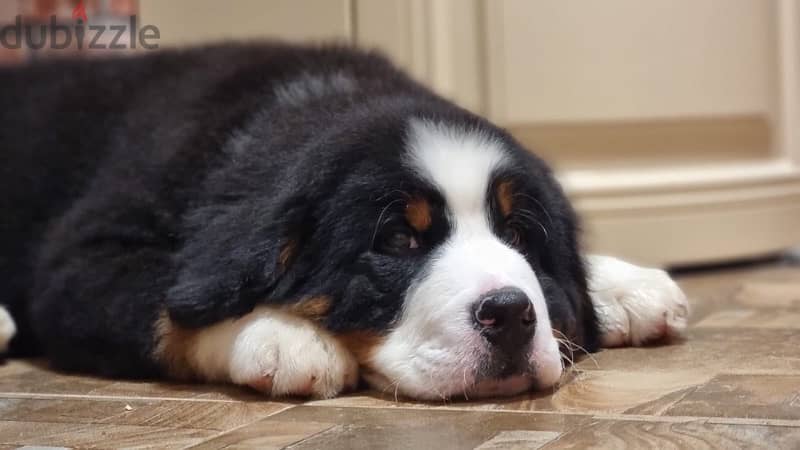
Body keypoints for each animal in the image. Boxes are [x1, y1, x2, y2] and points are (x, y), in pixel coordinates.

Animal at [0, 44, 688, 400]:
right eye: (400, 239)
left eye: (518, 234)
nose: (510, 314)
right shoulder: (86, 256)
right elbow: (171, 305)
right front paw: (282, 336)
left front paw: (626, 287)